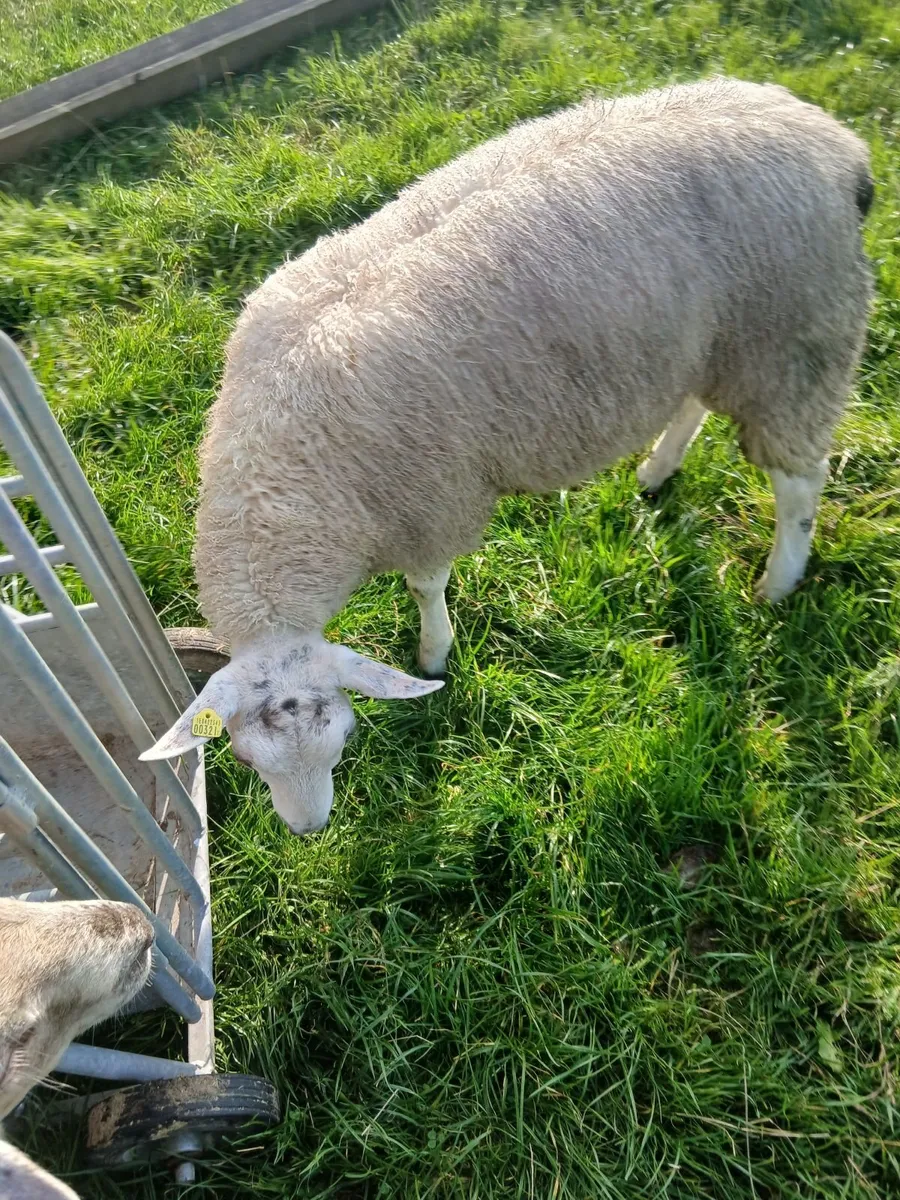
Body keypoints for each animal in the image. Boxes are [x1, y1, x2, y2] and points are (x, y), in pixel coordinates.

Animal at [140, 75, 873, 835]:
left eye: (345, 737)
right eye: (244, 757)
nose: (310, 830)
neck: (284, 465)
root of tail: (834, 140)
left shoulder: (432, 499)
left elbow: (426, 584)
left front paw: (434, 654)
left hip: (795, 340)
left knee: (800, 481)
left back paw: (779, 581)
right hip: (712, 338)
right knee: (694, 403)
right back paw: (657, 470)